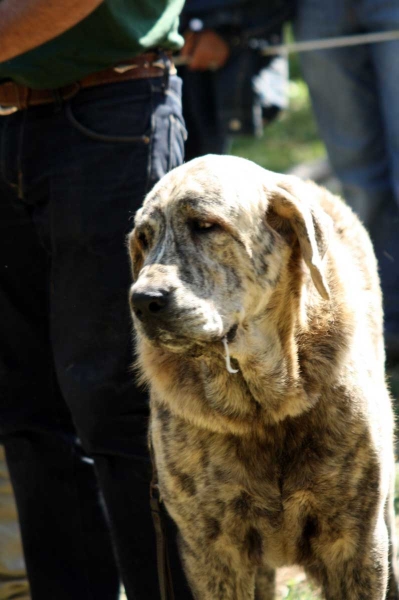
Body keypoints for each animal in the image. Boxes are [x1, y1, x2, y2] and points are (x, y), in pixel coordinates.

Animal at [128, 156, 399, 600]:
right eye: (144, 239)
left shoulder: (355, 542)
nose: (143, 300)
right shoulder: (212, 552)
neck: (262, 407)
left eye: (205, 225)